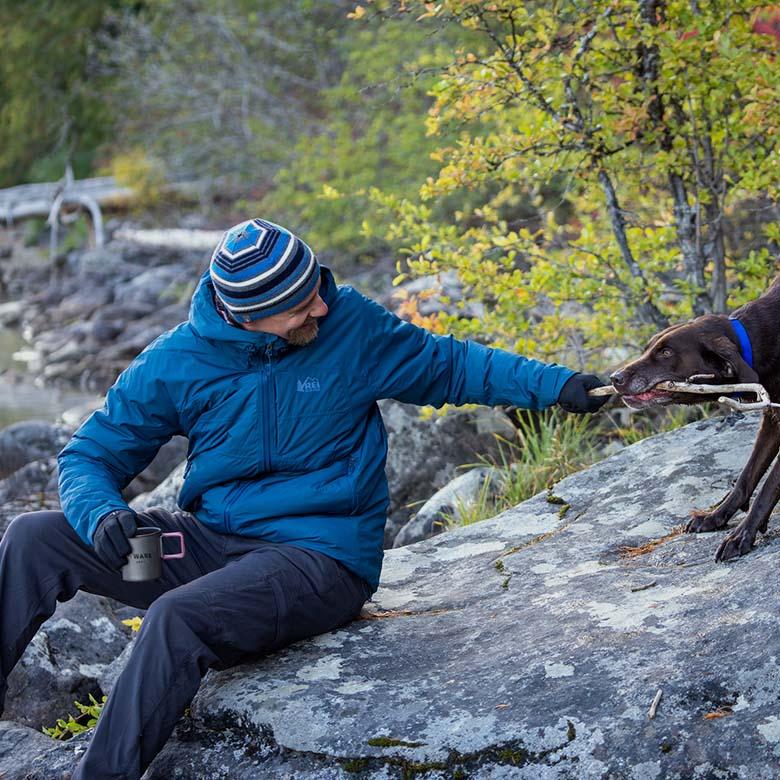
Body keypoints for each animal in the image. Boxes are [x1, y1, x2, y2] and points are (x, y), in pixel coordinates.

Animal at [608, 278, 780, 564]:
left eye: (666, 352)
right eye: (648, 348)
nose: (615, 378)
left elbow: (767, 488)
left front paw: (742, 536)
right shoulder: (772, 420)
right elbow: (747, 476)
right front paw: (716, 516)